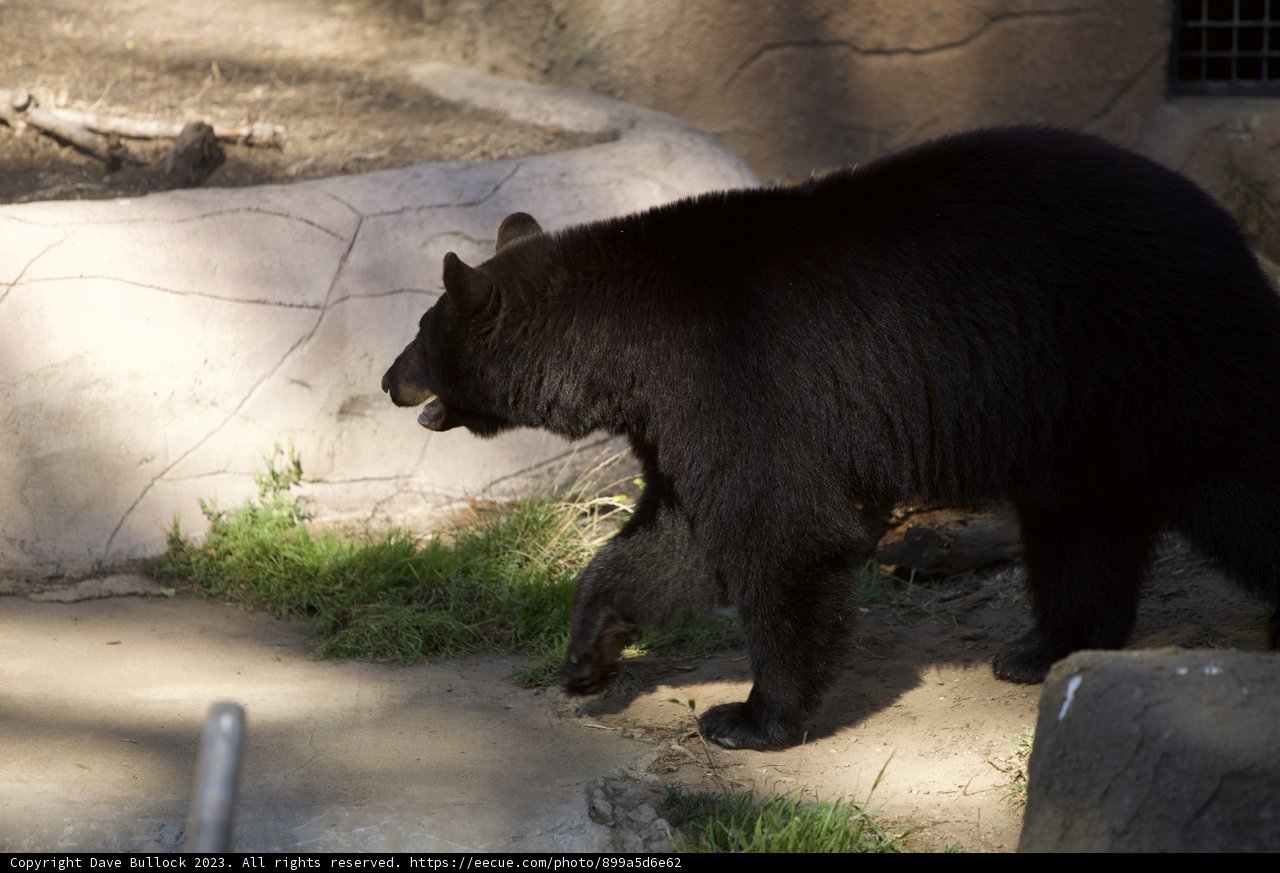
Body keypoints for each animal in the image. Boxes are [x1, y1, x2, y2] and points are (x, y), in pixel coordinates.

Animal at [382, 126, 1280, 751]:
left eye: (422, 330)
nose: (389, 380)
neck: (624, 337)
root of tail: (1229, 230)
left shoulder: (736, 375)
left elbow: (781, 532)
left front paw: (749, 717)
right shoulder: (675, 414)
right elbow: (673, 538)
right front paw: (587, 655)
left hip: (1155, 349)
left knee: (1236, 479)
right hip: (1075, 406)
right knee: (1080, 520)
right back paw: (1045, 646)